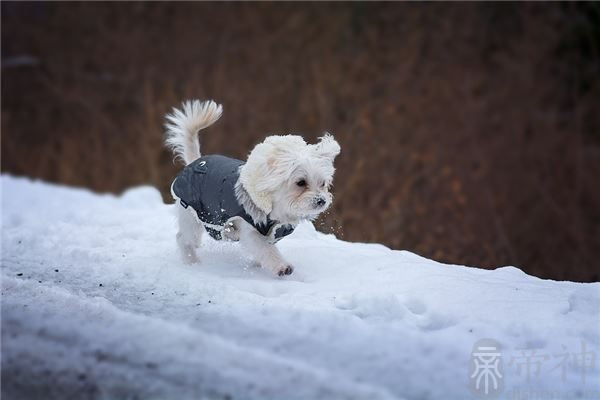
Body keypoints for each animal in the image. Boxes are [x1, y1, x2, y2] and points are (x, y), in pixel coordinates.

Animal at [166, 99, 340, 276]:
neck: (276, 208)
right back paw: (191, 261)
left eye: (323, 184)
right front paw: (281, 266)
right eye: (301, 183)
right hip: (191, 215)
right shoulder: (250, 230)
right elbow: (266, 250)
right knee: (183, 238)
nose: (321, 201)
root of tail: (195, 161)